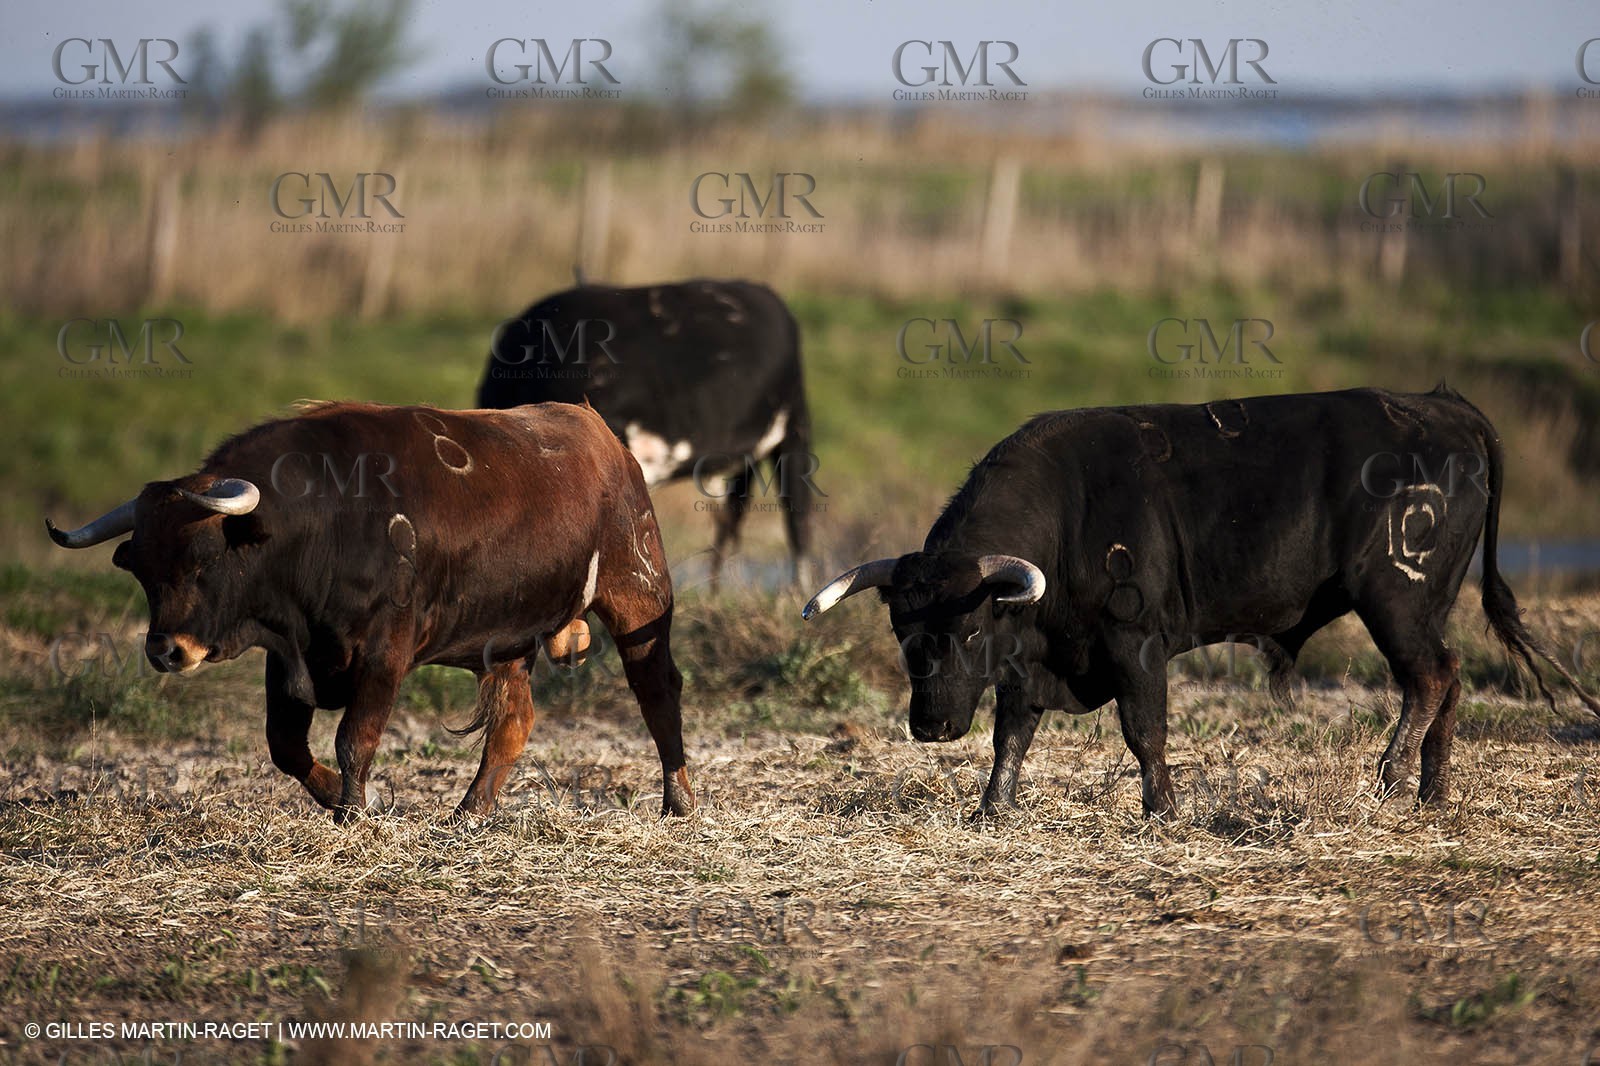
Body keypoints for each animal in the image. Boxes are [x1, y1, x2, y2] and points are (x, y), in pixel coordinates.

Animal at [46, 401, 694, 821]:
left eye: (204, 557)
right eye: (140, 568)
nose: (166, 650)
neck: (325, 520)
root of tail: (602, 435)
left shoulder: (384, 653)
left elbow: (355, 738)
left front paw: (353, 812)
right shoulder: (288, 659)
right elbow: (286, 746)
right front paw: (347, 797)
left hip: (637, 595)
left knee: (657, 691)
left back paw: (678, 800)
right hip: (508, 641)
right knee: (513, 721)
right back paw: (469, 813)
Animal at [803, 386, 1600, 818]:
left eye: (969, 632)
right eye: (901, 632)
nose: (932, 726)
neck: (1069, 514)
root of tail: (1440, 406)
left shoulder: (1136, 642)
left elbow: (1144, 730)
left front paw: (1162, 810)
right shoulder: (1033, 658)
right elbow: (1012, 734)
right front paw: (990, 810)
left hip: (1396, 599)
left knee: (1429, 677)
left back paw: (1393, 777)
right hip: (1425, 606)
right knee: (1451, 675)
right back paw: (1433, 789)